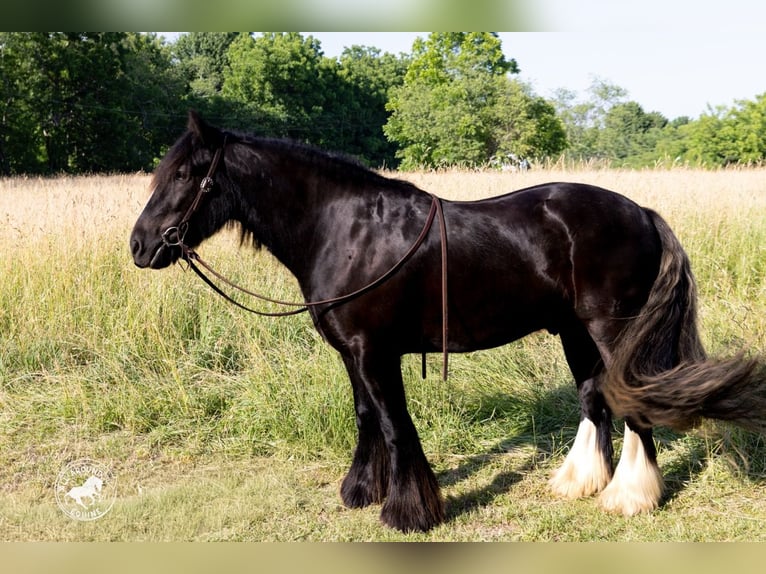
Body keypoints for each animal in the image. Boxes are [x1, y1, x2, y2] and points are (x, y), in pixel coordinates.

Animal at [130, 111, 766, 532]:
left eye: (185, 174)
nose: (139, 245)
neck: (344, 228)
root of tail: (640, 213)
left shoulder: (375, 351)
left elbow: (394, 424)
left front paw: (410, 510)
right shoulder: (352, 352)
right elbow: (366, 417)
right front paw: (363, 490)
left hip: (612, 330)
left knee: (632, 400)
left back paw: (630, 496)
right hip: (574, 331)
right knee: (595, 397)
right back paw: (581, 481)